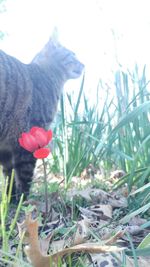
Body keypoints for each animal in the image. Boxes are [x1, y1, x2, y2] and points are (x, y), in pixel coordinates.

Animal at [0, 33, 84, 201]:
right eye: (72, 55)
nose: (83, 64)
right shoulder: (26, 141)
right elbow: (24, 177)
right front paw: (23, 201)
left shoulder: (6, 148)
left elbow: (9, 177)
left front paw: (11, 200)